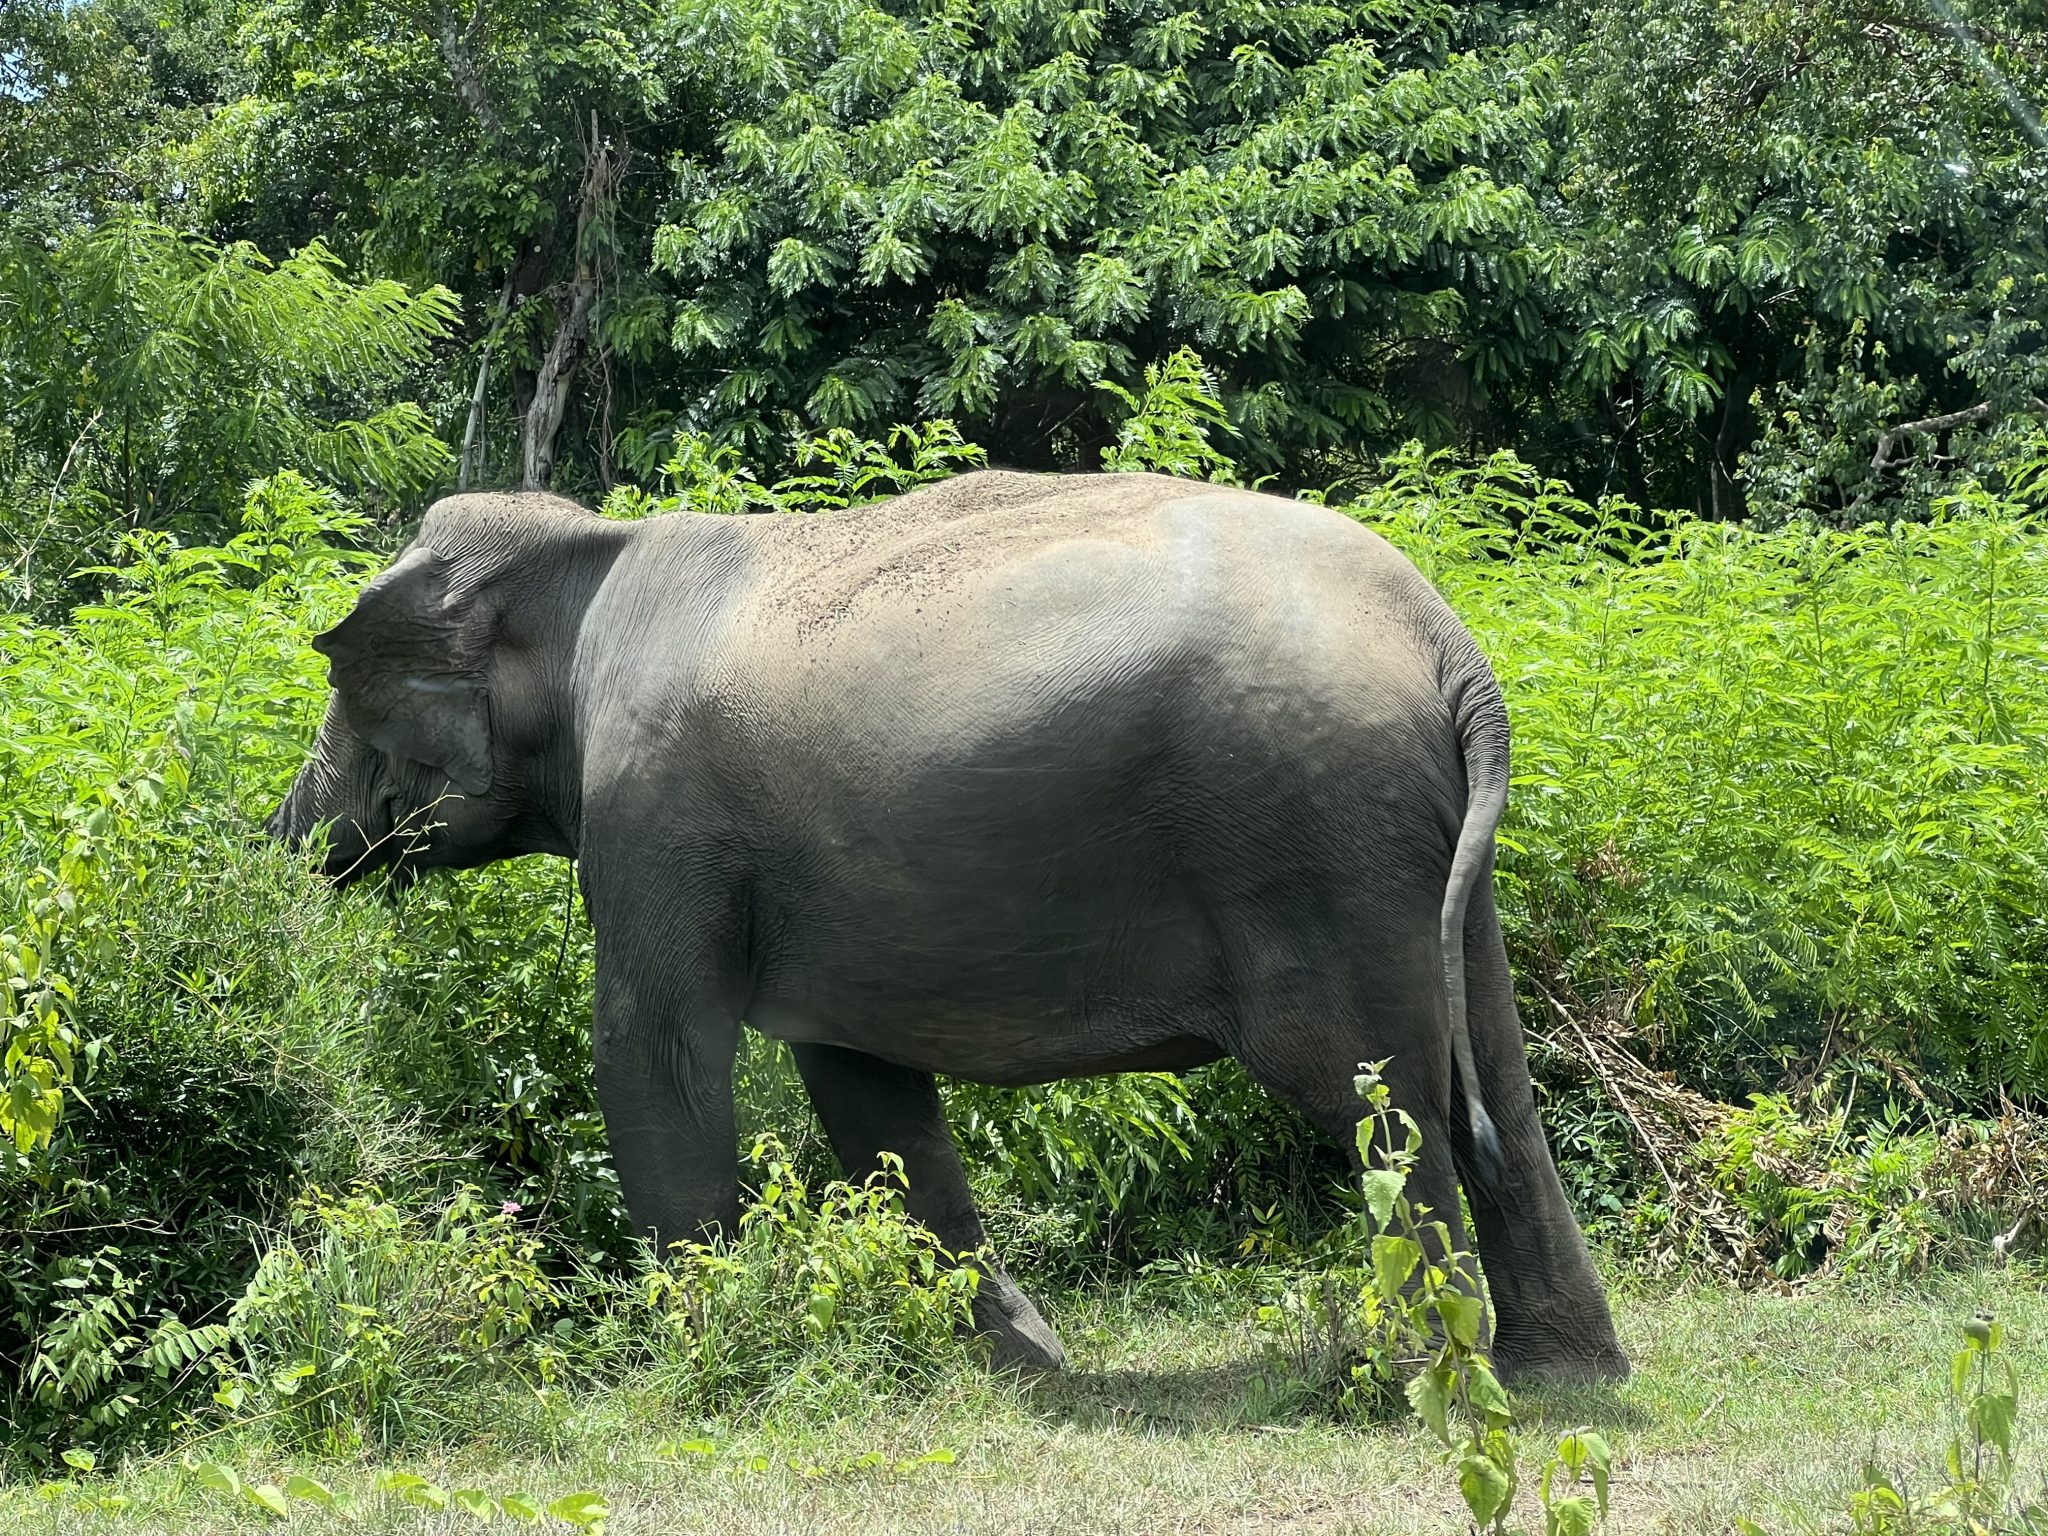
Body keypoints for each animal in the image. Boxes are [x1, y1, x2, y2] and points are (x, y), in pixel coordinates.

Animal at [267, 469, 1629, 1383]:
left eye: (338, 681)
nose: (277, 842)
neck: (591, 550)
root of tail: (1449, 645)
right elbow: (863, 1087)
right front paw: (1029, 1364)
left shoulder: (654, 815)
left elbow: (654, 1048)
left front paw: (704, 1352)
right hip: (1421, 859)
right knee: (1492, 1079)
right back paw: (1563, 1372)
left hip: (1314, 835)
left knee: (1378, 1097)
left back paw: (1426, 1372)